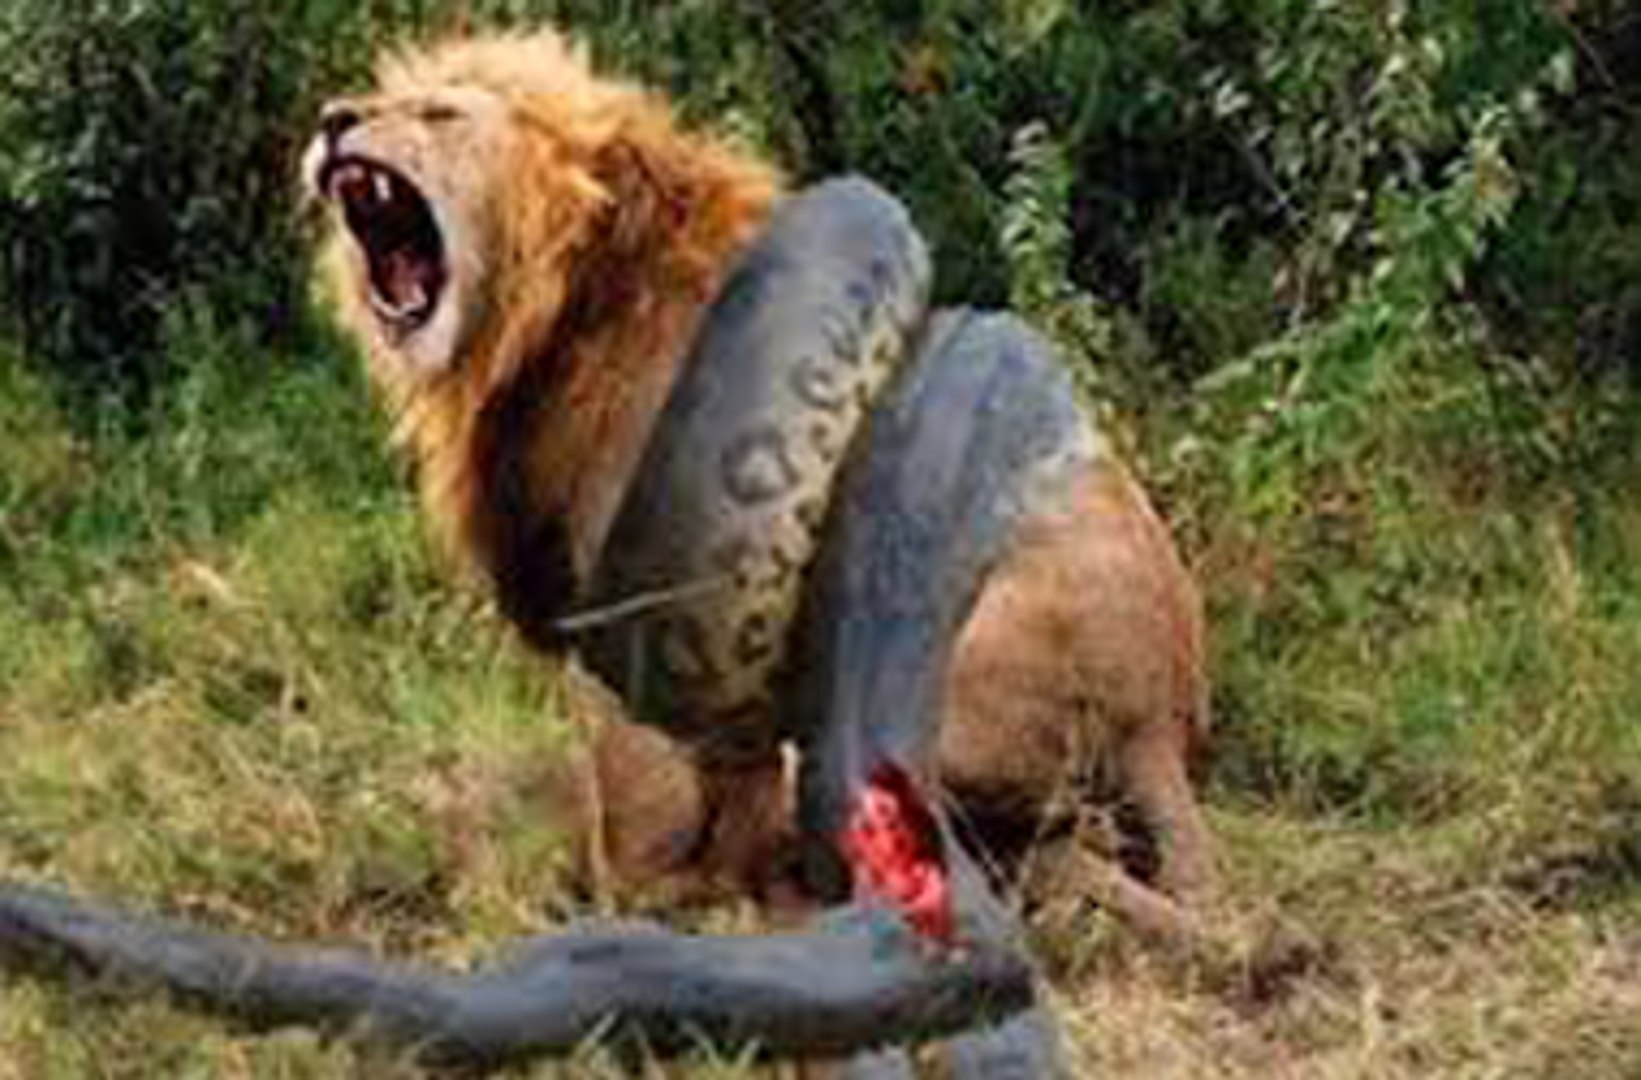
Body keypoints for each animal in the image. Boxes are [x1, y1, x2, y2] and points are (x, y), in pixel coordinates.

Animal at [304, 29, 1214, 940]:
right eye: (374, 101)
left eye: (439, 113)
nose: (334, 118)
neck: (549, 322)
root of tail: (1159, 712)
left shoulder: (647, 607)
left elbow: (633, 773)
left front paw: (633, 893)